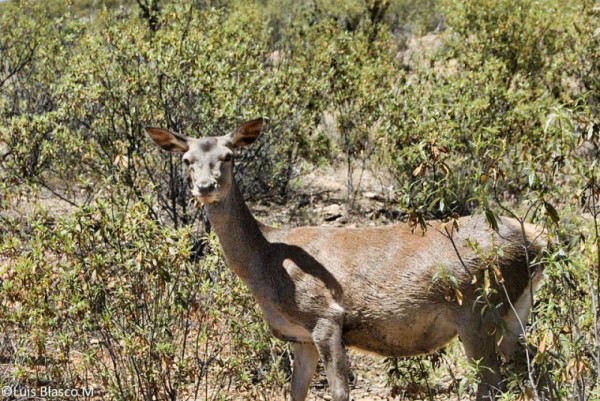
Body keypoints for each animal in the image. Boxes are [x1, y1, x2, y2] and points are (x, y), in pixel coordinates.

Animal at [146, 118, 548, 400]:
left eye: (228, 156)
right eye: (187, 159)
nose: (205, 187)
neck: (265, 262)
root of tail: (538, 239)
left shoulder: (325, 317)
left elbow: (340, 392)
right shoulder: (300, 337)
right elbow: (296, 392)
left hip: (478, 309)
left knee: (492, 383)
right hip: (515, 311)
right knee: (527, 374)